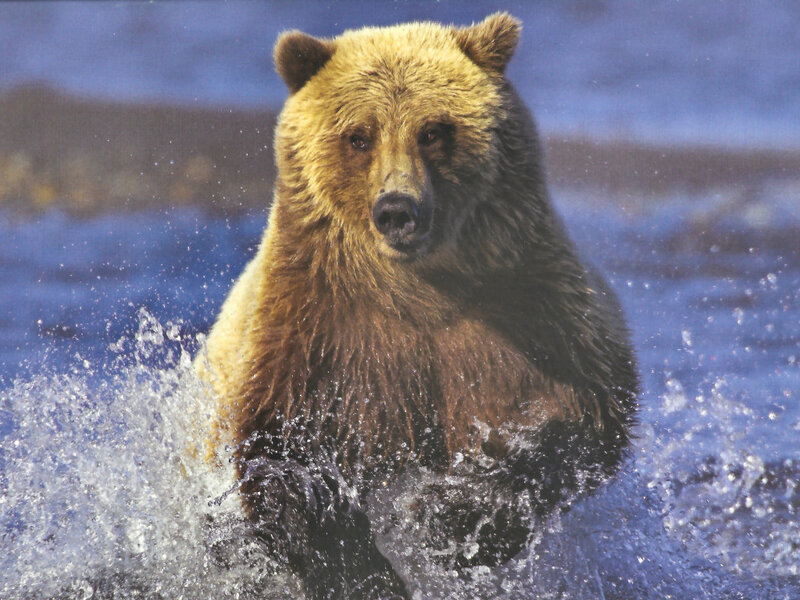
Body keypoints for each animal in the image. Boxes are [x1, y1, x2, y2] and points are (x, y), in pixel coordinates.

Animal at [196, 12, 638, 600]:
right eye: (359, 136)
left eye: (433, 130)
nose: (397, 209)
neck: (419, 287)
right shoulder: (315, 332)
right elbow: (280, 458)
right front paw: (363, 568)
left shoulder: (529, 309)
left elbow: (577, 419)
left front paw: (446, 518)